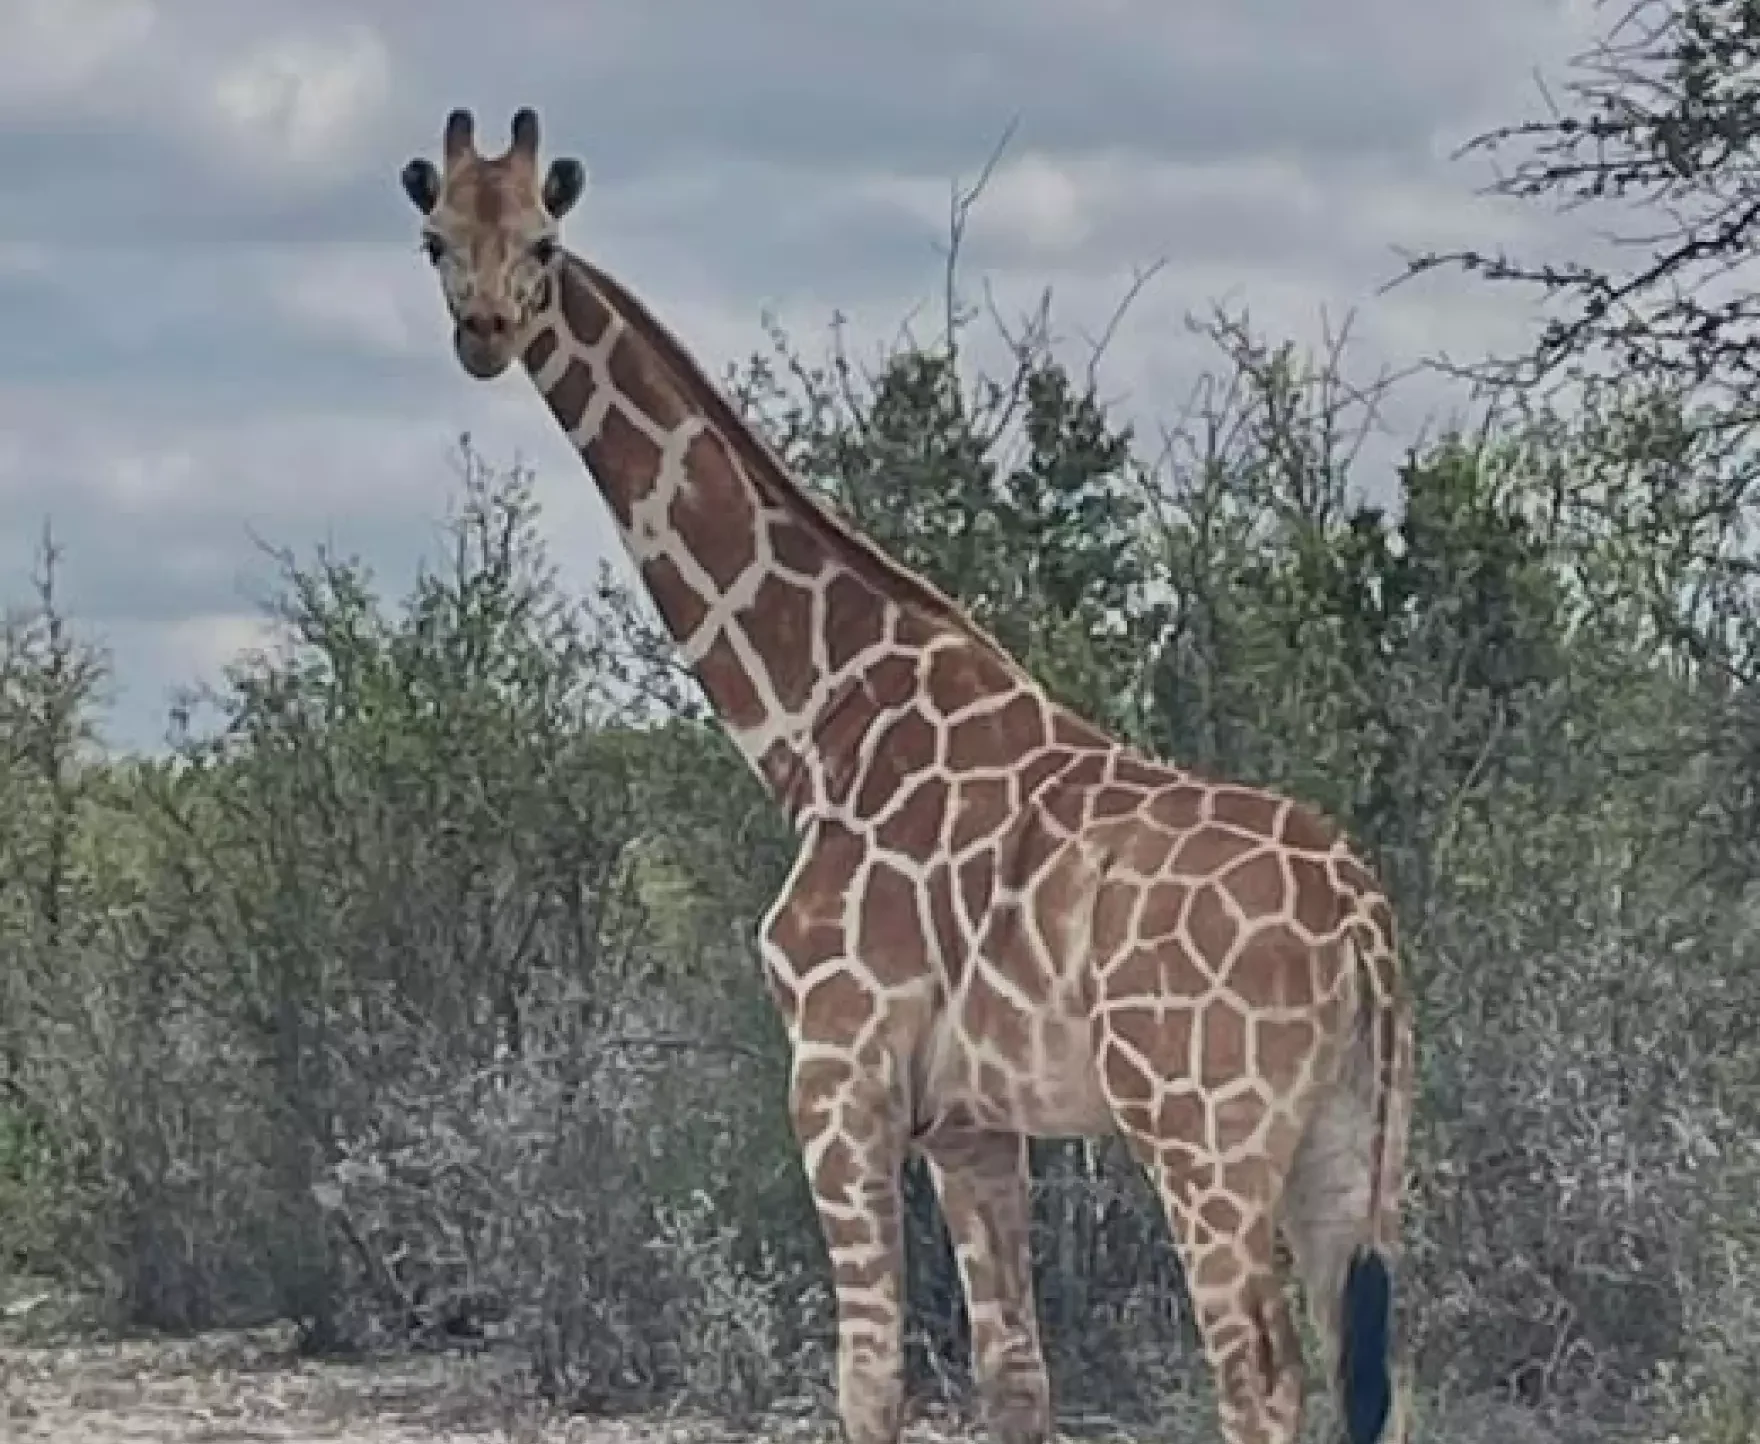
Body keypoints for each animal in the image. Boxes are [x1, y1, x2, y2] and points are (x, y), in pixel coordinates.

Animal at [400, 108, 1414, 1444]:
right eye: (435, 237)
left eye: (544, 242)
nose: (483, 330)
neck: (816, 720)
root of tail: (1361, 921)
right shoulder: (972, 1122)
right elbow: (1014, 1376)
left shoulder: (837, 1071)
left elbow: (868, 1374)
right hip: (1354, 1144)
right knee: (1372, 1378)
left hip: (1206, 1133)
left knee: (1260, 1380)